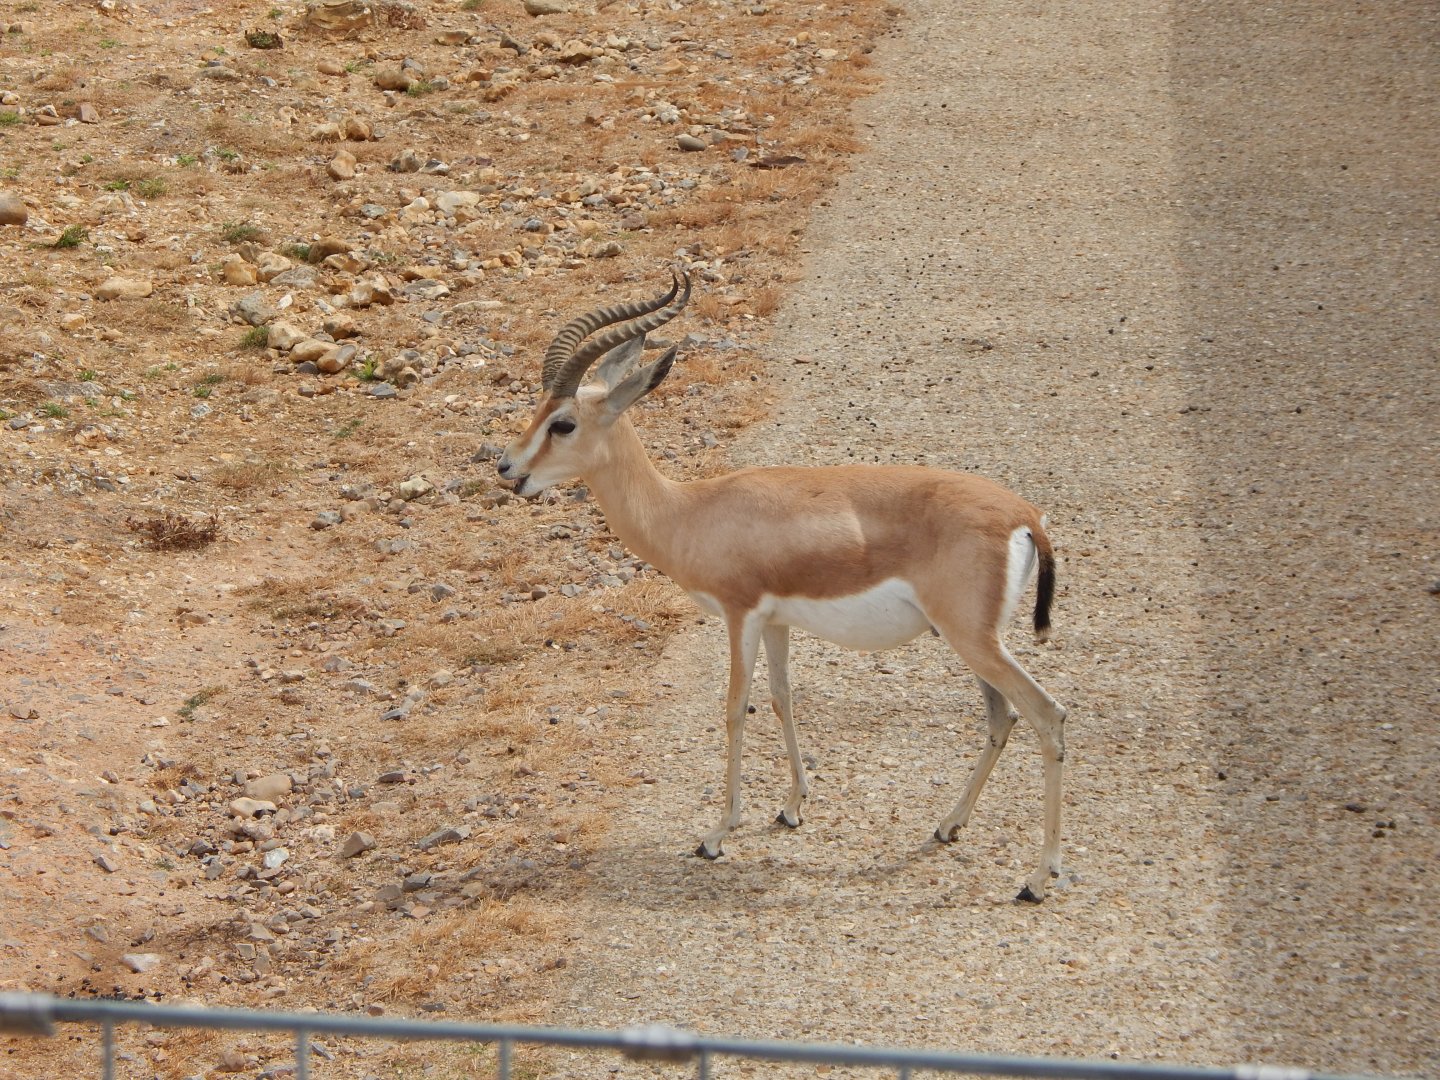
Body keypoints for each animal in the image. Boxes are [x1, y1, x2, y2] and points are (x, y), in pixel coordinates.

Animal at [497, 271, 1069, 902]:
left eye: (564, 422)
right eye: (537, 410)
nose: (506, 468)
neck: (690, 512)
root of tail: (1026, 516)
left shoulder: (740, 613)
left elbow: (734, 706)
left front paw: (717, 834)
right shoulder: (776, 622)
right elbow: (781, 697)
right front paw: (793, 807)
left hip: (973, 639)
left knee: (1048, 715)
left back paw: (1037, 877)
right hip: (973, 640)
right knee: (1002, 718)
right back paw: (948, 826)